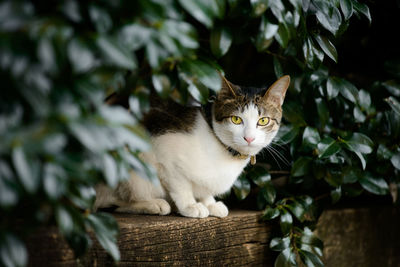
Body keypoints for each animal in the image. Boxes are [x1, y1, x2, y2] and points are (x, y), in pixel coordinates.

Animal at [95, 74, 290, 219]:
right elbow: (180, 185)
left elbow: (204, 187)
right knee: (112, 203)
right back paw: (154, 204)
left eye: (263, 121)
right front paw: (189, 205)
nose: (249, 138)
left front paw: (209, 203)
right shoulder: (163, 153)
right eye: (236, 119)